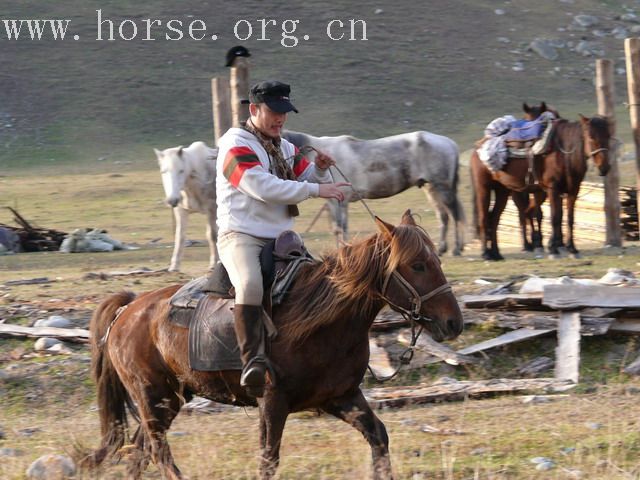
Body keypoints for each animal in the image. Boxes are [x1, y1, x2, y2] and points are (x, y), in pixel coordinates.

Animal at [86, 211, 464, 480]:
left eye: (436, 260)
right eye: (417, 265)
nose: (453, 323)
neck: (322, 322)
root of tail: (127, 309)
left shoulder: (341, 397)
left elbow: (379, 438)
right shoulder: (272, 402)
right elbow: (268, 461)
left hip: (170, 398)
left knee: (141, 450)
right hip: (153, 396)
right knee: (158, 452)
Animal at [154, 141, 219, 272]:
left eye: (181, 170)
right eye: (163, 172)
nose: (172, 200)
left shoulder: (211, 209)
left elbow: (212, 235)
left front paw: (213, 264)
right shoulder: (181, 211)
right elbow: (180, 237)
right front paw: (174, 266)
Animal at [284, 127, 464, 255]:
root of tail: (450, 143)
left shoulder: (340, 201)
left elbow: (341, 227)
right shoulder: (336, 202)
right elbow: (338, 228)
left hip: (442, 187)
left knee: (454, 214)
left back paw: (457, 248)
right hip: (431, 189)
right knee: (443, 216)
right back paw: (442, 249)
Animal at [470, 107, 608, 260]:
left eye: (608, 136)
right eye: (591, 138)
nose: (604, 167)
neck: (564, 154)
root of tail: (477, 148)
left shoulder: (573, 190)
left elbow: (569, 218)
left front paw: (572, 249)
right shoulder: (552, 189)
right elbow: (555, 217)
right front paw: (553, 250)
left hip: (502, 191)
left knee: (495, 218)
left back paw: (496, 253)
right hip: (483, 188)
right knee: (484, 217)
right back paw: (486, 253)